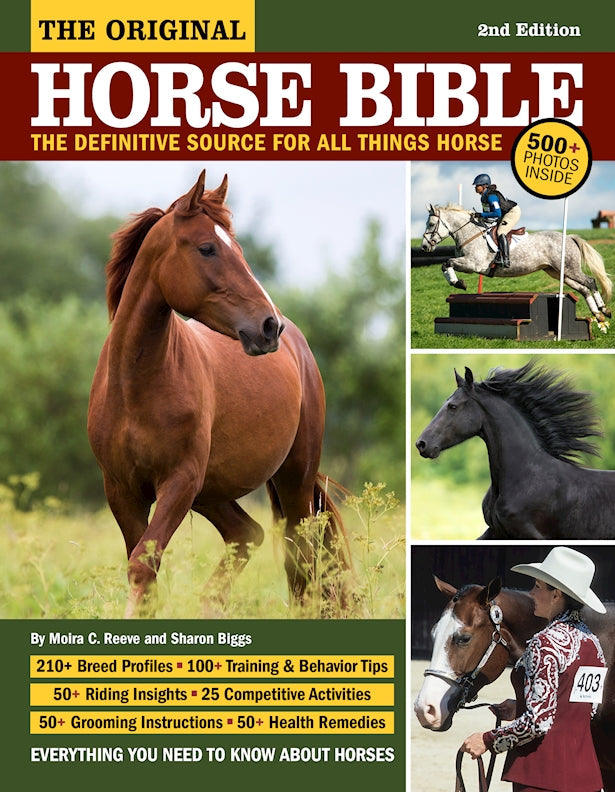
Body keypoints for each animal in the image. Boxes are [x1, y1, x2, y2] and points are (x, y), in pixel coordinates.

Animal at [87, 171, 350, 618]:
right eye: (207, 248)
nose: (268, 326)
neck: (136, 386)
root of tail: (298, 347)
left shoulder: (178, 482)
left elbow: (143, 564)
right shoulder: (122, 491)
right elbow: (144, 569)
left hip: (291, 479)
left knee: (300, 558)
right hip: (211, 492)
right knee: (248, 534)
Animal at [422, 204, 612, 327]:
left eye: (431, 224)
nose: (424, 247)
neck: (470, 233)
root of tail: (570, 237)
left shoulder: (473, 264)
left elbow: (447, 263)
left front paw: (459, 283)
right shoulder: (469, 264)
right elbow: (445, 265)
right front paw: (458, 282)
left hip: (569, 269)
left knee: (590, 282)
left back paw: (604, 310)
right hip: (559, 273)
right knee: (583, 288)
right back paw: (597, 315)